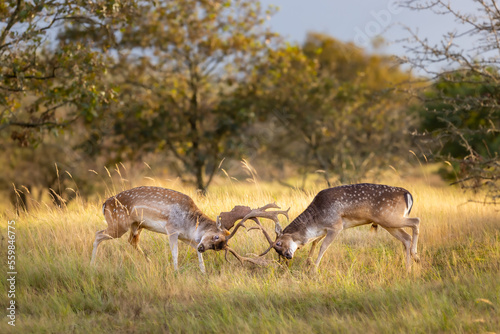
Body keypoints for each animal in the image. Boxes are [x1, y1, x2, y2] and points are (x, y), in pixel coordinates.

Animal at [90, 185, 286, 272]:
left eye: (218, 247)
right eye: (216, 237)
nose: (203, 246)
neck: (189, 225)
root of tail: (104, 204)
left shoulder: (189, 239)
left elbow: (198, 256)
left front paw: (203, 272)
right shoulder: (171, 229)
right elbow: (175, 253)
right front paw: (176, 272)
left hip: (136, 226)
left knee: (131, 241)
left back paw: (149, 262)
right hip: (119, 223)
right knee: (98, 234)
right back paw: (92, 264)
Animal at [240, 184, 420, 270]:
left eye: (278, 243)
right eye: (277, 250)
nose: (288, 255)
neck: (318, 219)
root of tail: (408, 195)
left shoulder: (336, 225)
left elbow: (323, 246)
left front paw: (313, 270)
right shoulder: (325, 229)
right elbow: (314, 242)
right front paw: (308, 263)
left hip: (390, 218)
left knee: (416, 221)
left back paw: (416, 256)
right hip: (388, 222)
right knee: (406, 237)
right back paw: (408, 267)